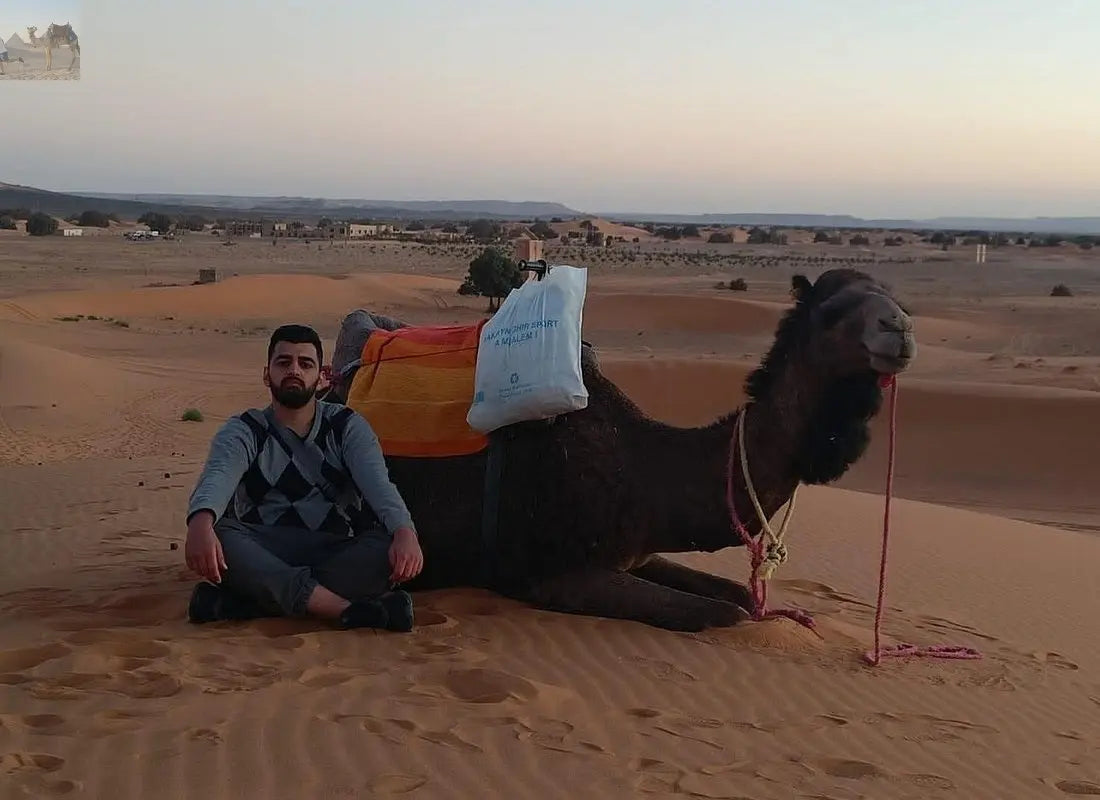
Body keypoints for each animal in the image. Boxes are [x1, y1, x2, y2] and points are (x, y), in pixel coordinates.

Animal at [332, 268, 915, 632]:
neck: (644, 469)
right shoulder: (553, 576)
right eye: (833, 310)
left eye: (898, 300)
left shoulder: (639, 550)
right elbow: (720, 614)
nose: (900, 328)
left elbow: (742, 597)